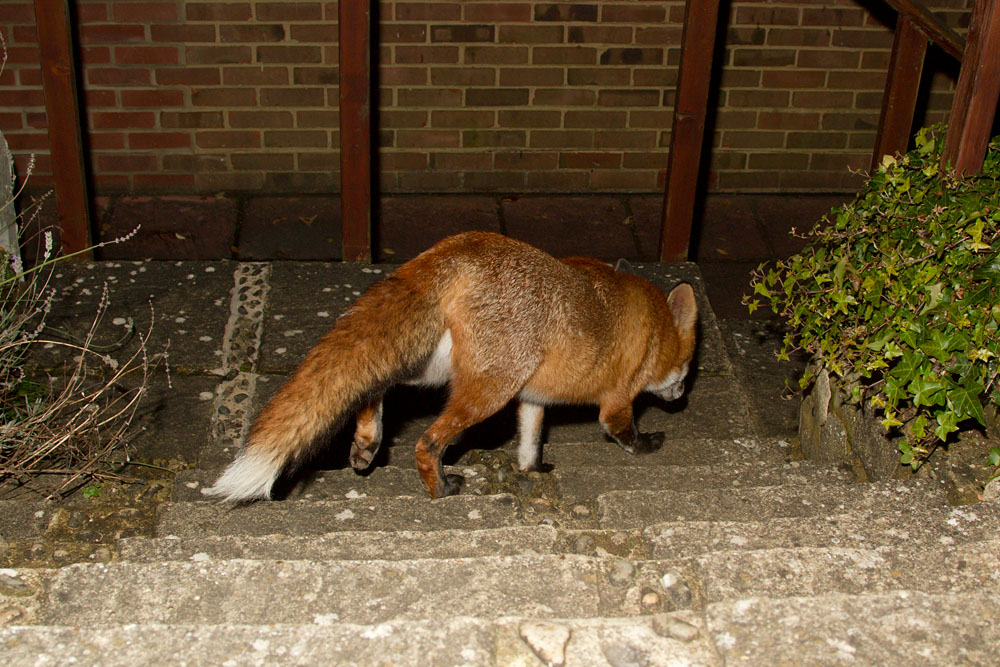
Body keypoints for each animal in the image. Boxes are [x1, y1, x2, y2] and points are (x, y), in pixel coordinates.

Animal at [206, 231, 698, 501]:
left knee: (375, 384)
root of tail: (464, 245)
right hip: (487, 391)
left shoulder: (532, 399)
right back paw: (440, 489)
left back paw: (367, 441)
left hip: (434, 368)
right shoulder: (617, 400)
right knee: (426, 442)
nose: (681, 398)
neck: (654, 328)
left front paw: (531, 472)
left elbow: (529, 444)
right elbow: (623, 433)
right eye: (690, 365)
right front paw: (649, 445)